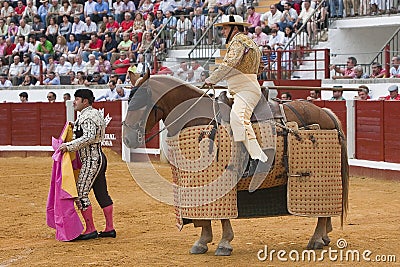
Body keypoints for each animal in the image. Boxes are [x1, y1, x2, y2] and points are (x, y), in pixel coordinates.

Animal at [123, 71, 348, 258]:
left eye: (140, 101)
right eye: (128, 101)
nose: (127, 139)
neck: (195, 117)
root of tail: (325, 112)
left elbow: (222, 215)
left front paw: (223, 243)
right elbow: (203, 214)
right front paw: (202, 241)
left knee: (322, 206)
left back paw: (316, 239)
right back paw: (325, 236)